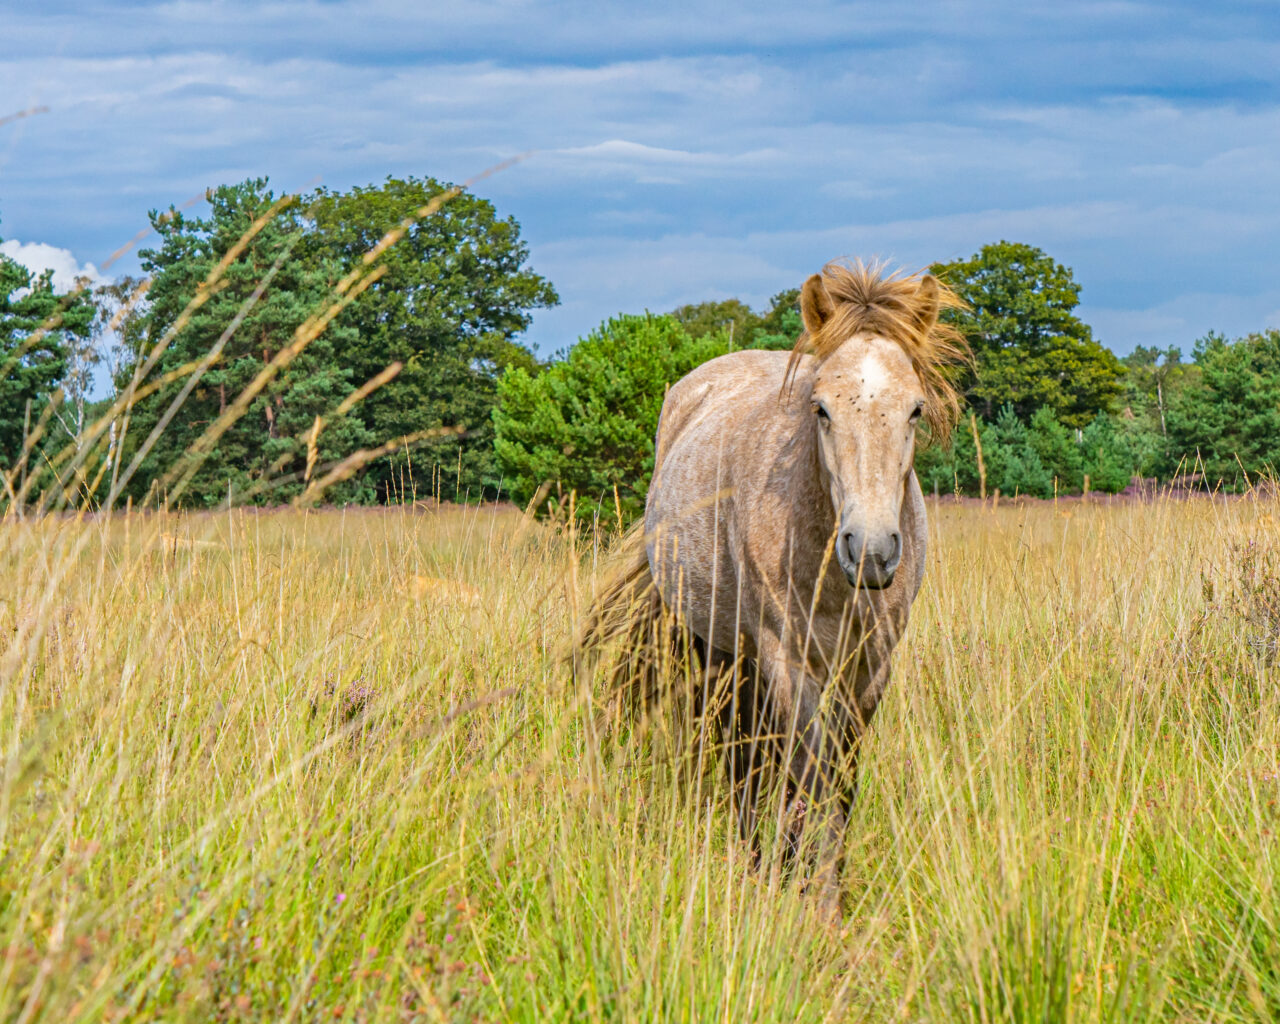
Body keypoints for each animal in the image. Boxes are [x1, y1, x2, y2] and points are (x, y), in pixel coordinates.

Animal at [576, 259, 962, 906]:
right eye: (822, 409)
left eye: (914, 408)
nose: (872, 551)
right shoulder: (788, 659)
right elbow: (810, 773)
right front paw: (818, 898)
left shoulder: (870, 667)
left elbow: (842, 778)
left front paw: (819, 880)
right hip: (721, 650)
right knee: (738, 752)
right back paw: (755, 857)